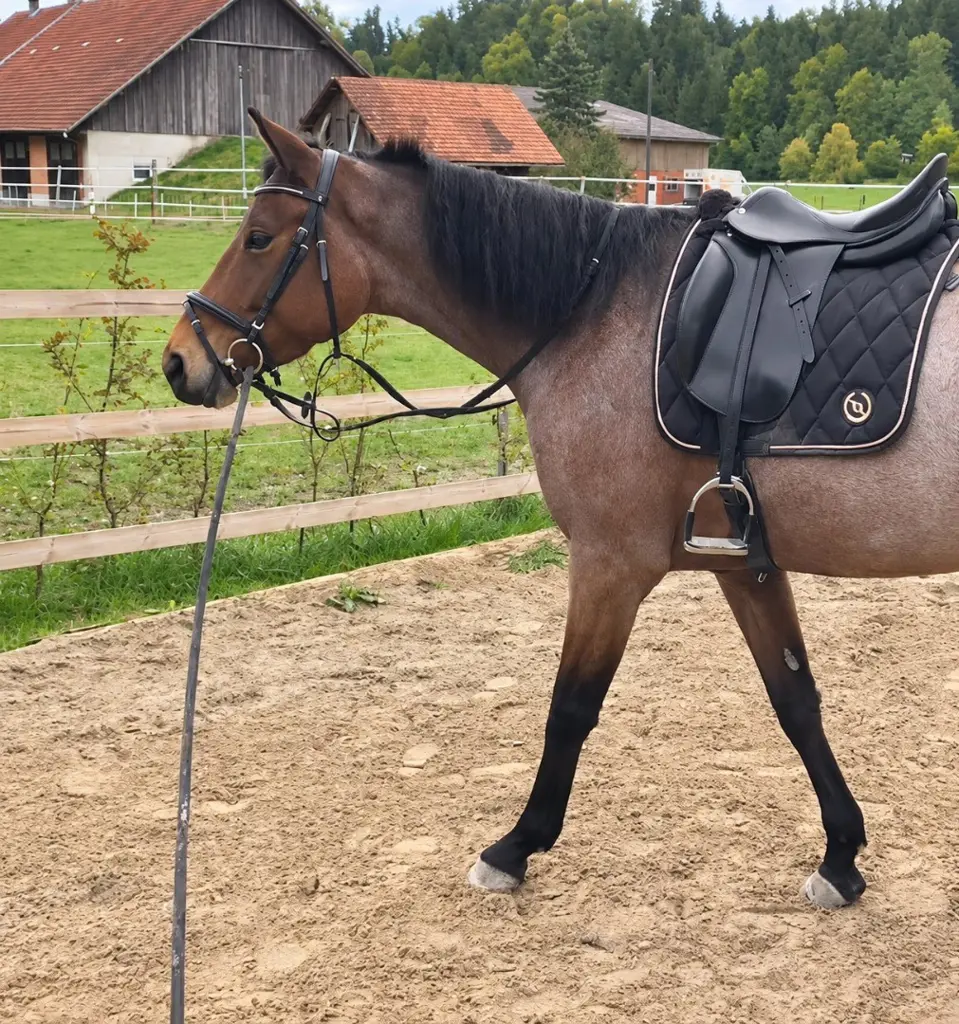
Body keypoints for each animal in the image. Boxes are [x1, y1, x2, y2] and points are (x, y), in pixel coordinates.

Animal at [162, 111, 959, 912]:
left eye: (259, 236)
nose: (179, 361)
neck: (598, 314)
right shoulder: (743, 563)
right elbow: (794, 699)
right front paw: (841, 855)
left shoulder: (609, 562)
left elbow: (570, 706)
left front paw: (515, 846)